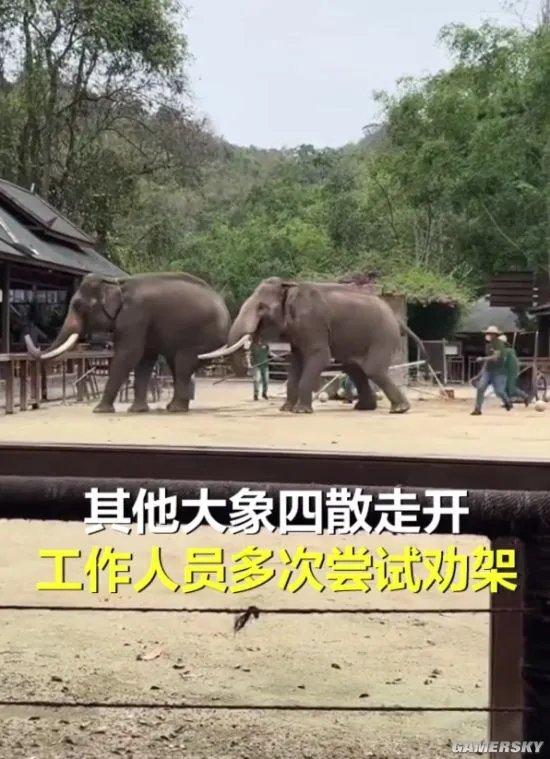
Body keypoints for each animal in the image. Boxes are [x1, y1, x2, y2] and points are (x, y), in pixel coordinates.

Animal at [24, 271, 233, 414]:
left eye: (79, 306)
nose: (26, 334)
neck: (115, 282)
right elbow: (144, 358)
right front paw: (137, 410)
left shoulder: (134, 316)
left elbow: (129, 354)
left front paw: (99, 410)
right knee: (177, 364)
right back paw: (173, 407)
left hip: (205, 338)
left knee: (182, 361)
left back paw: (176, 409)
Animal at [201, 277, 427, 414]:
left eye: (262, 307)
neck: (289, 287)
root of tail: (397, 318)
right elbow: (295, 363)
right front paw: (285, 409)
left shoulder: (312, 322)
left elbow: (319, 356)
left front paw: (300, 411)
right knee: (356, 369)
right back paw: (364, 408)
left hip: (382, 336)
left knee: (371, 369)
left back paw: (399, 409)